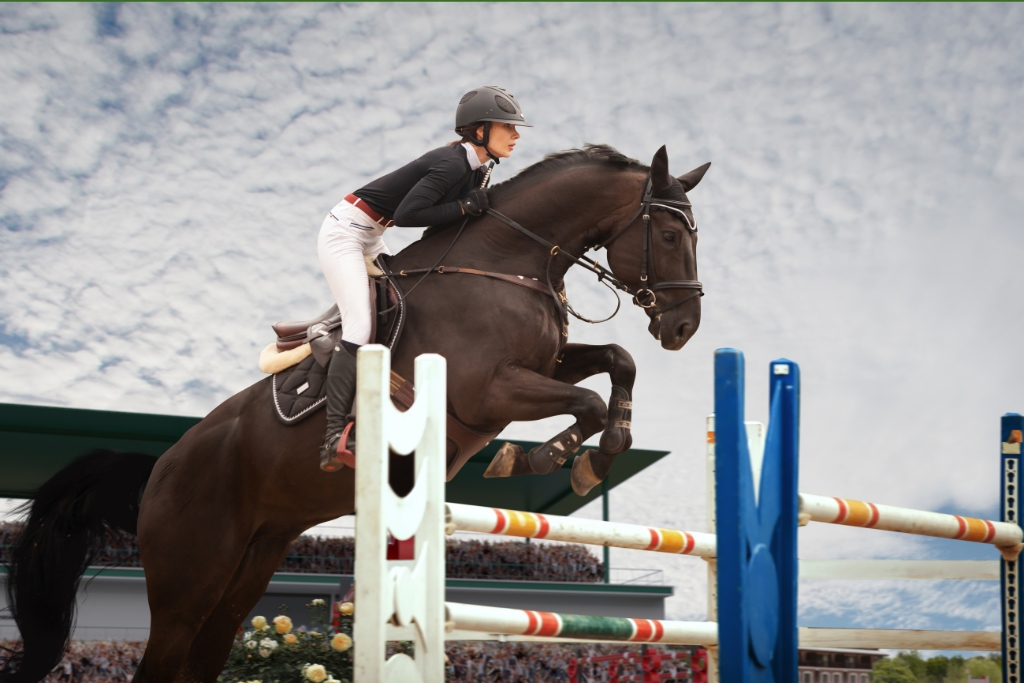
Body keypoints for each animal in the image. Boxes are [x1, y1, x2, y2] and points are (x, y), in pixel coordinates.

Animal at [2, 144, 704, 683]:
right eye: (670, 235)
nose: (684, 328)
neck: (509, 261)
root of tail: (159, 469)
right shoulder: (486, 390)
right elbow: (586, 399)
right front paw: (549, 457)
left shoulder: (545, 364)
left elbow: (616, 362)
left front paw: (597, 449)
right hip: (187, 583)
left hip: (246, 571)